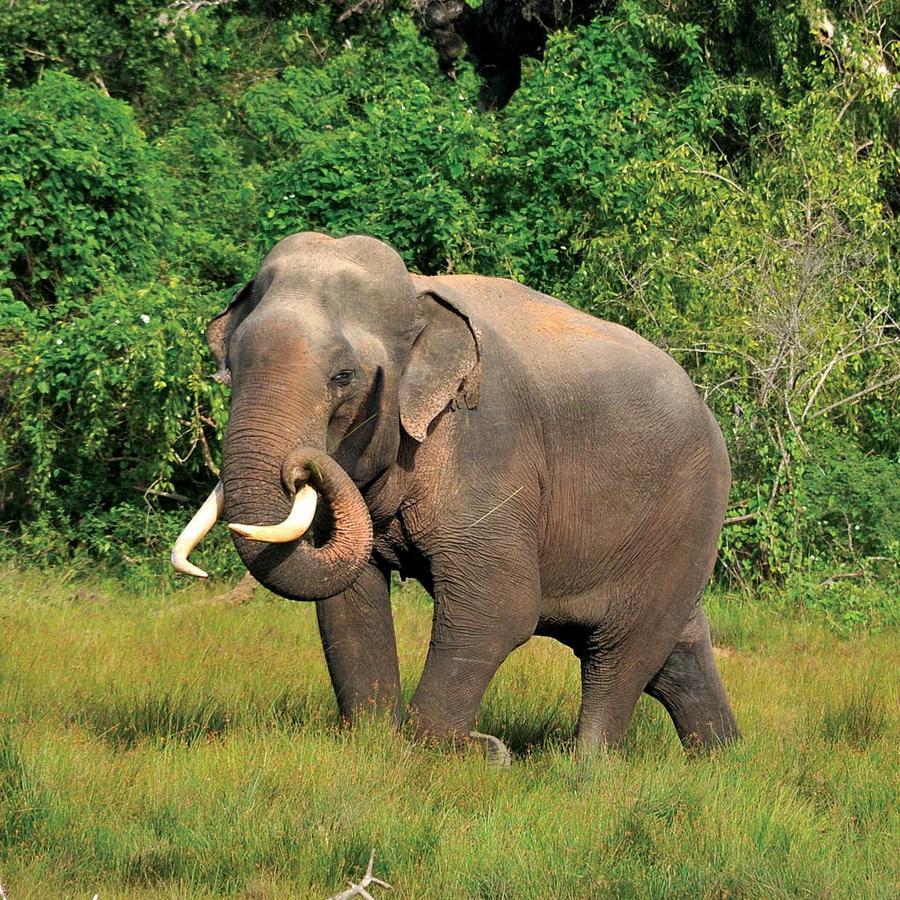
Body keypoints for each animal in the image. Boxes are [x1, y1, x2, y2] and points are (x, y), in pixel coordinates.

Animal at [174, 230, 740, 752]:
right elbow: (348, 600)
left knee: (622, 654)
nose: (299, 468)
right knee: (677, 654)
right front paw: (375, 742)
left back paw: (588, 766)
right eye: (230, 367)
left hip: (687, 517)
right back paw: (719, 760)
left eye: (344, 377)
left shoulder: (490, 445)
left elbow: (498, 604)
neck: (419, 292)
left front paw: (467, 753)